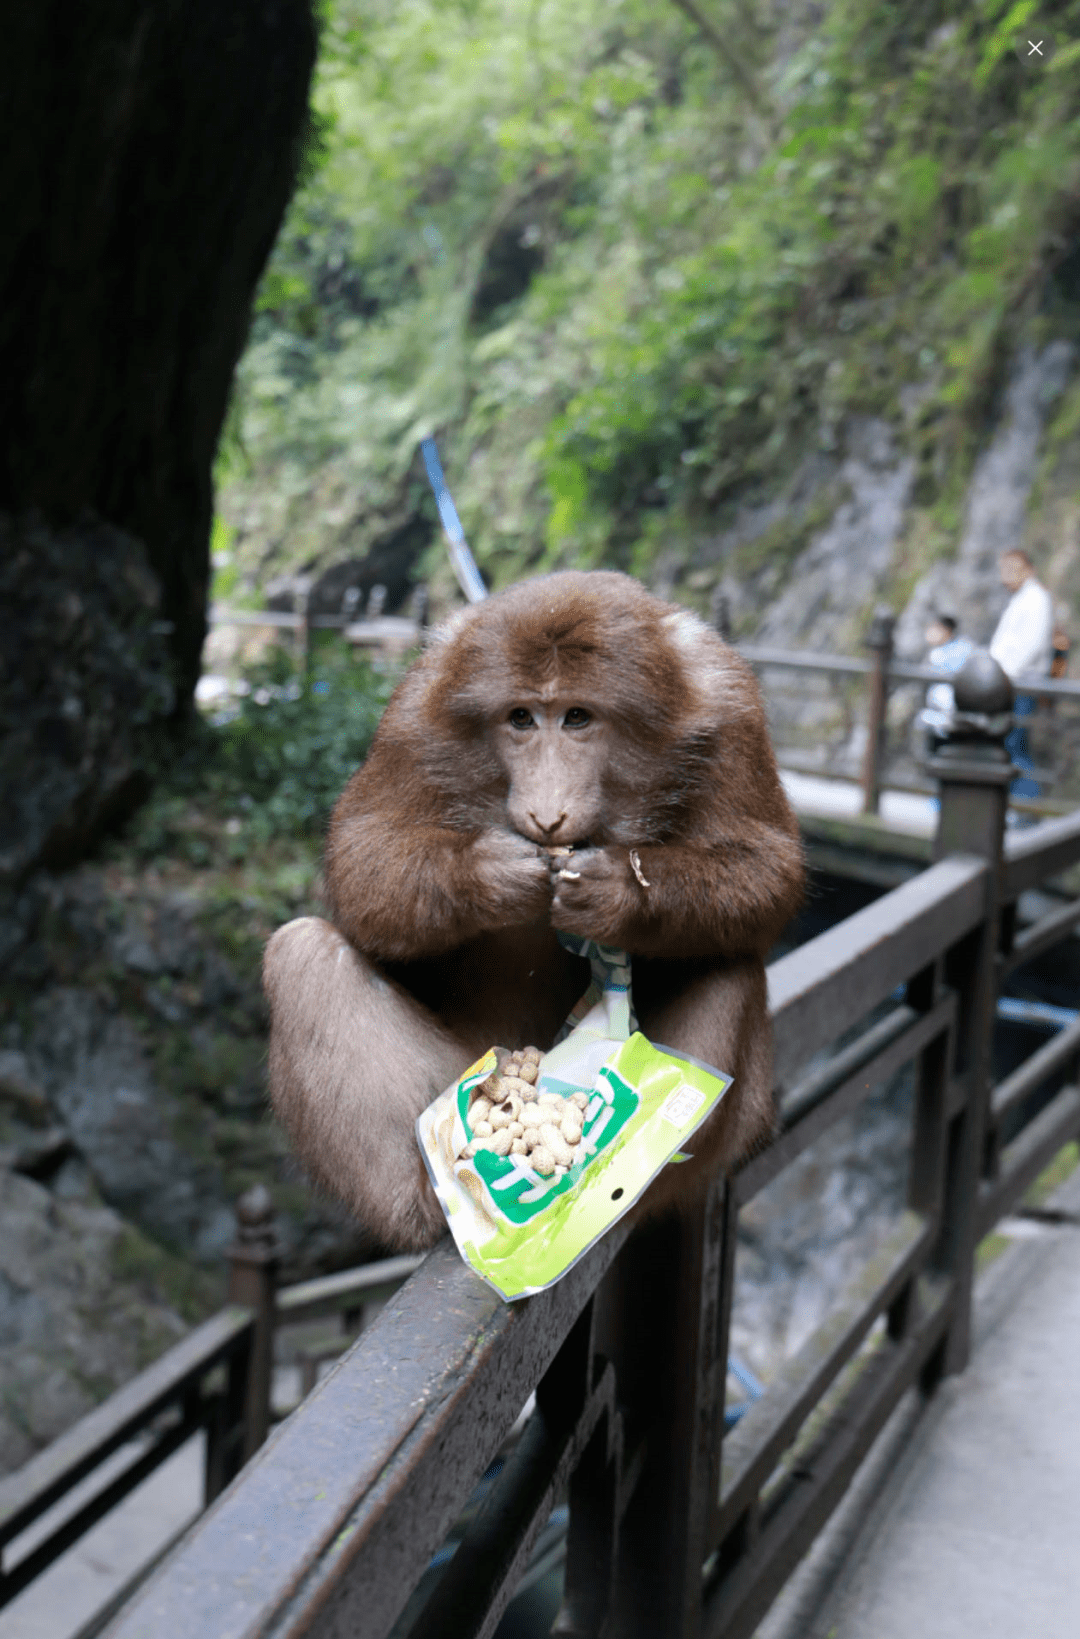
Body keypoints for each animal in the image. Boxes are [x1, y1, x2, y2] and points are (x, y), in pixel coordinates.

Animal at [263, 570, 803, 1245]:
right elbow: (364, 857)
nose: (547, 812)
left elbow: (765, 867)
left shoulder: (730, 707)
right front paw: (489, 876)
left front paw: (615, 894)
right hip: (460, 1070)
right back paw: (430, 1203)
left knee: (727, 962)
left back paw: (639, 1176)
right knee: (304, 953)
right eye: (520, 717)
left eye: (577, 717)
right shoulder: (419, 709)